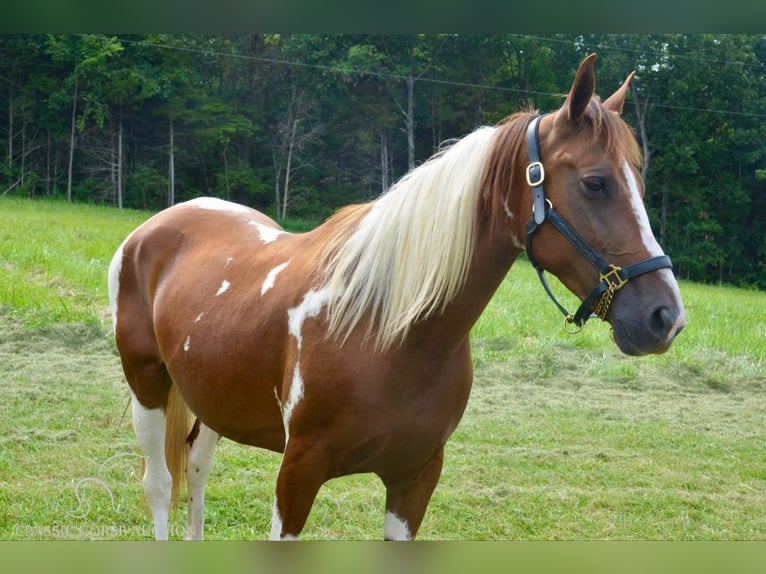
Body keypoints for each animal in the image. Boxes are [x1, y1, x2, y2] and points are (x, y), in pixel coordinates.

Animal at [106, 53, 684, 540]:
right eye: (595, 183)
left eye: (638, 182)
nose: (666, 318)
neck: (387, 327)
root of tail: (158, 225)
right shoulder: (297, 474)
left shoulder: (415, 479)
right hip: (148, 385)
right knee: (160, 485)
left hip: (211, 398)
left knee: (197, 469)